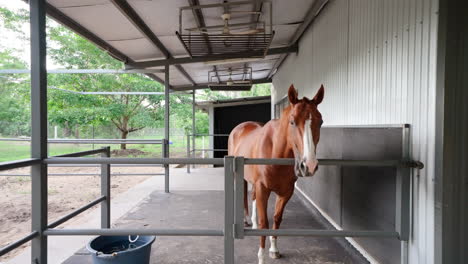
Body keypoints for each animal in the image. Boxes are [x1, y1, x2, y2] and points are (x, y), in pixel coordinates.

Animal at [228, 84, 324, 262]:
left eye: (321, 122)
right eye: (292, 122)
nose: (309, 165)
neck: (275, 153)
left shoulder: (286, 192)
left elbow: (276, 220)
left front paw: (273, 249)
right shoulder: (263, 189)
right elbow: (265, 223)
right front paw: (261, 257)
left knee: (252, 197)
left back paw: (252, 222)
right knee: (243, 195)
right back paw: (246, 220)